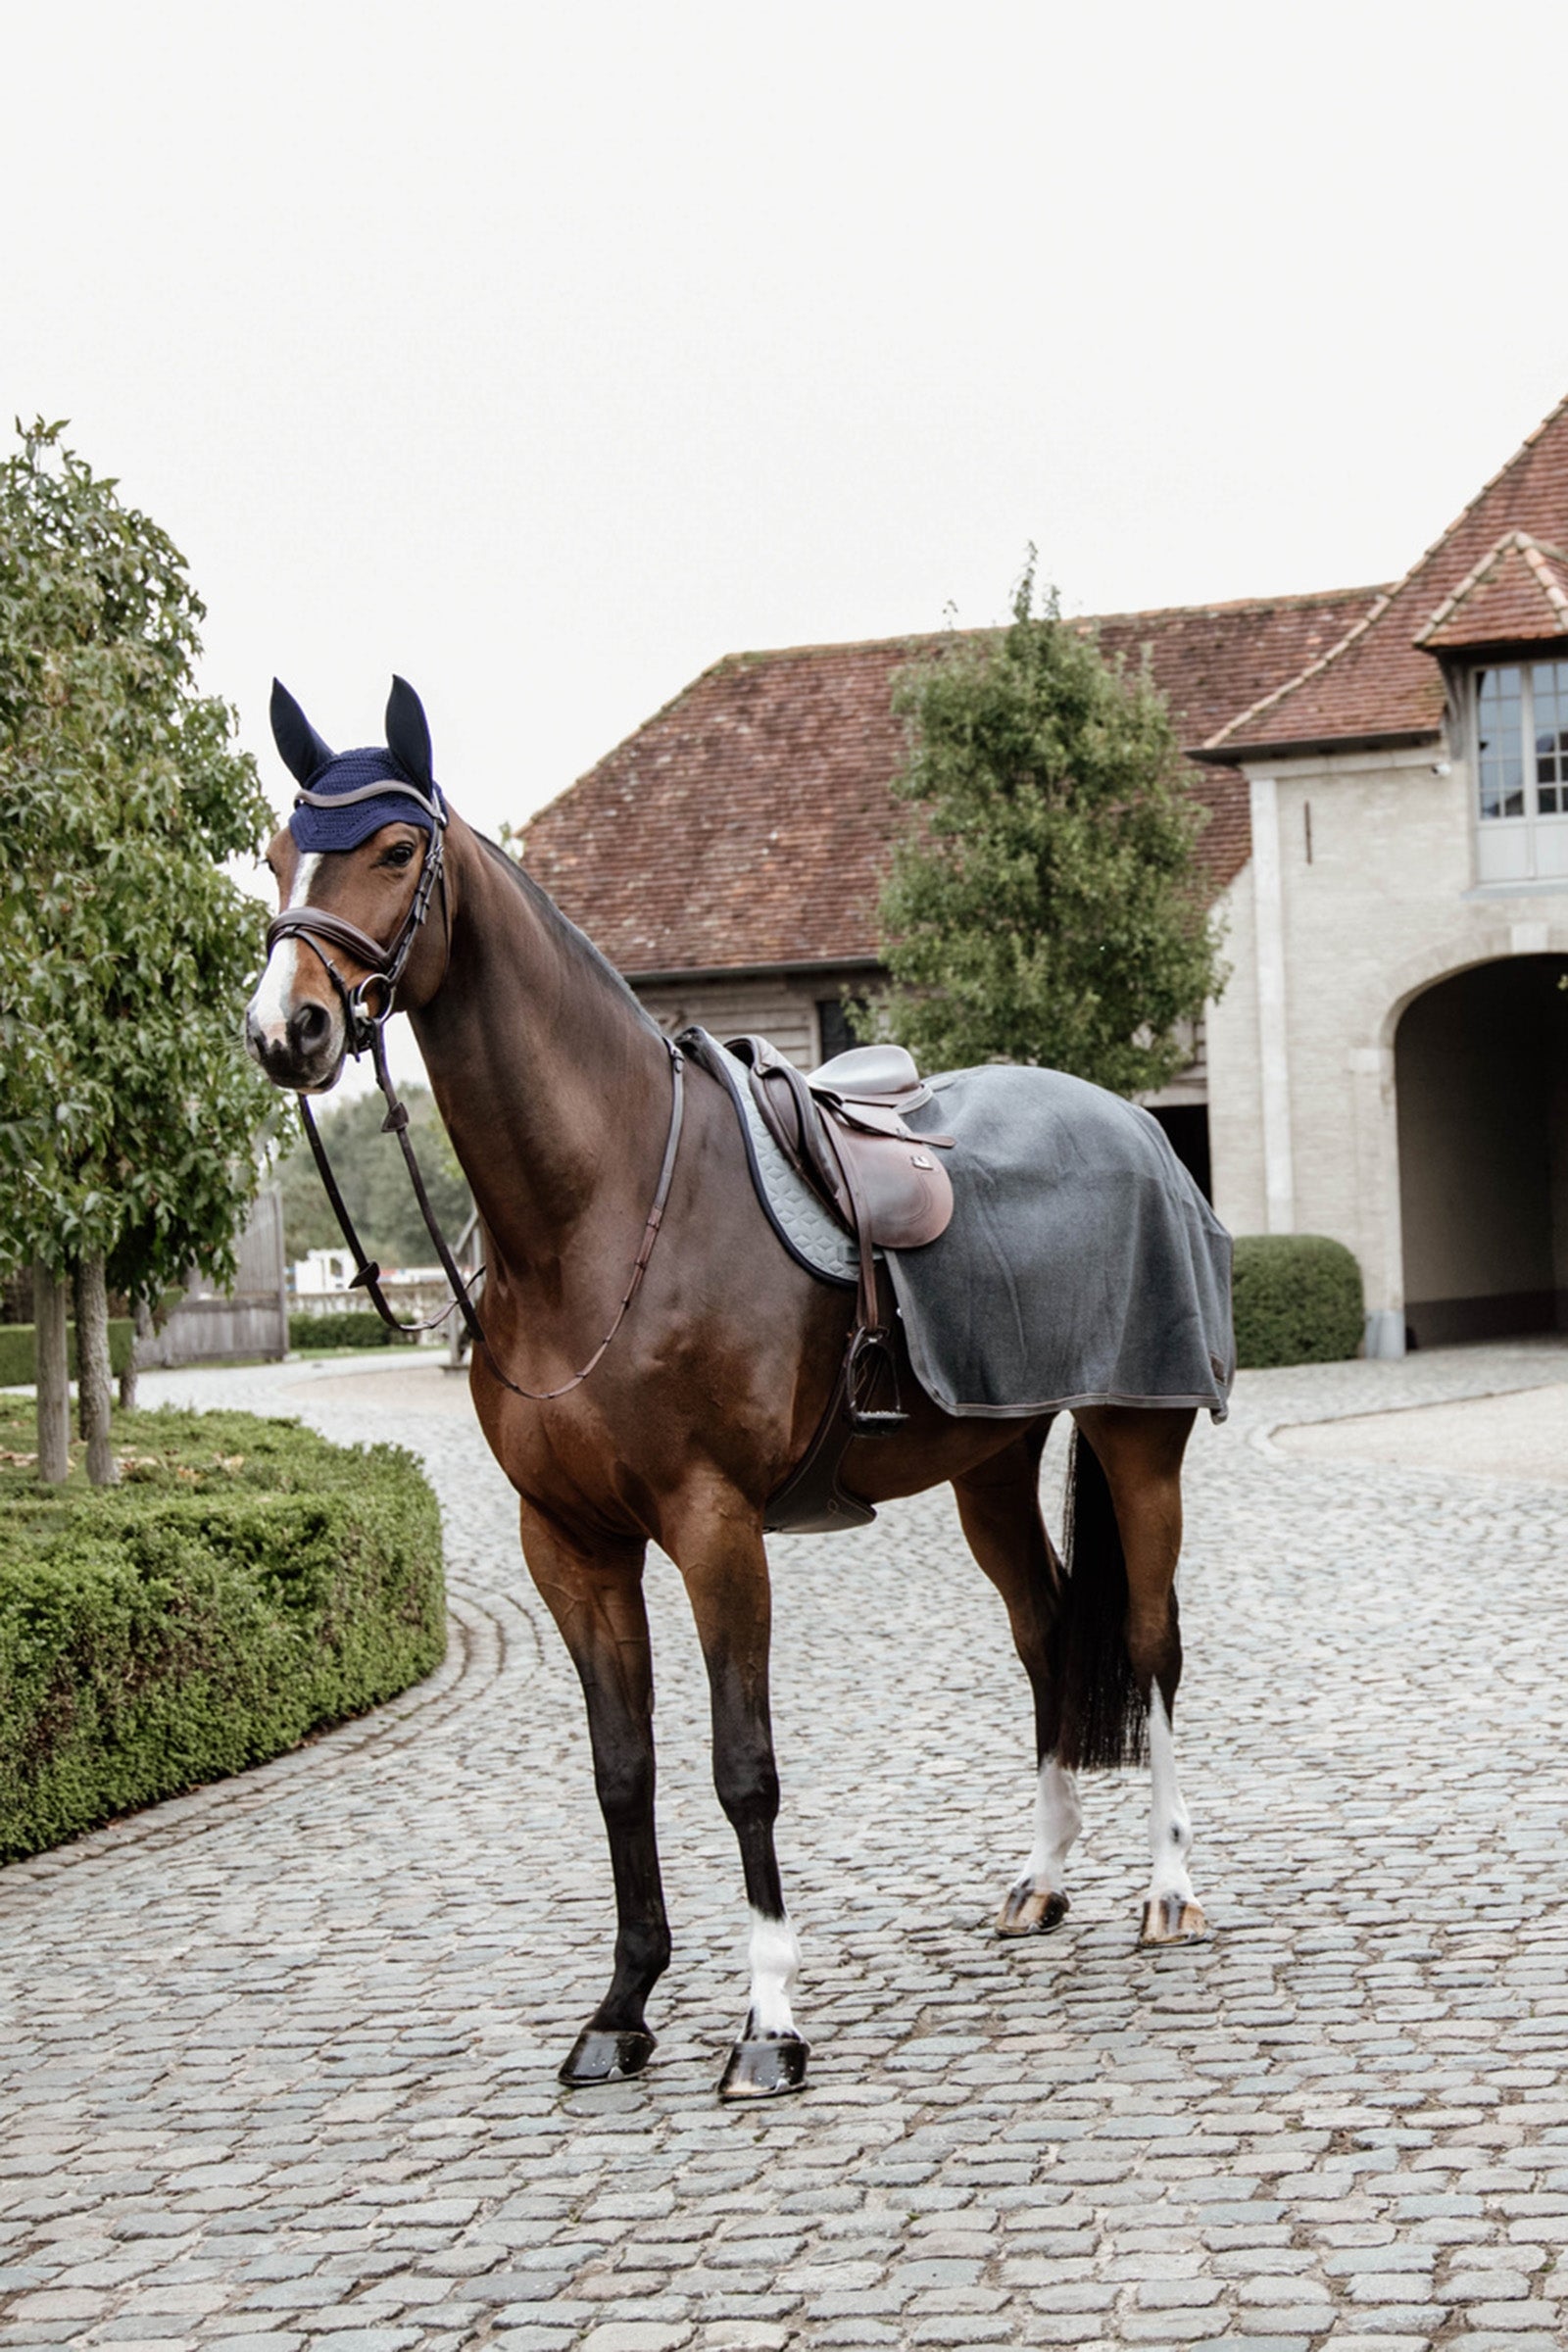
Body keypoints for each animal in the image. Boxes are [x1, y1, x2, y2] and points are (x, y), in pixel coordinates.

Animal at [246, 676, 1219, 2101]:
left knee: (1148, 1648)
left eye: (393, 847)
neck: (598, 1215)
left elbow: (740, 1767)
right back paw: (1039, 1883)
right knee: (1045, 1638)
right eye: (277, 852)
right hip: (986, 1464)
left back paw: (1168, 1893)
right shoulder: (569, 1543)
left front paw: (768, 2023)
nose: (289, 1028)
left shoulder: (713, 1528)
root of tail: (1132, 1122)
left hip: (1137, 1439)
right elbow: (623, 1771)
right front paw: (620, 2010)